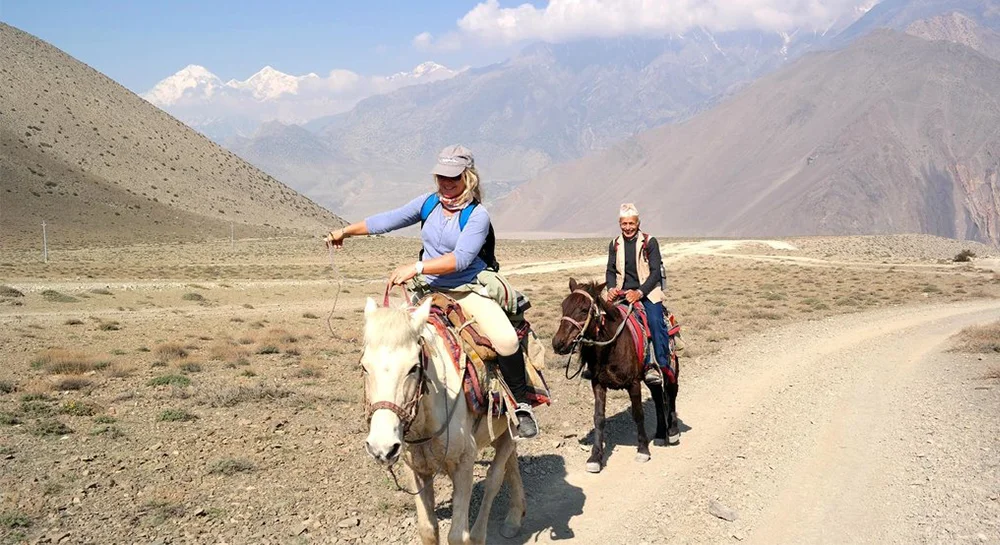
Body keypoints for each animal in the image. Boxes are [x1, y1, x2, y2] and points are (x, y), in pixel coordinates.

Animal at [361, 296, 526, 545]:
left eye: (414, 367)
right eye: (364, 366)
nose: (382, 448)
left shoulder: (464, 463)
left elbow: (457, 536)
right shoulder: (416, 469)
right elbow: (428, 529)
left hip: (512, 430)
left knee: (493, 479)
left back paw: (483, 533)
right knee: (511, 465)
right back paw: (515, 519)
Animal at [551, 278, 679, 473]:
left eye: (584, 309)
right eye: (563, 306)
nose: (558, 343)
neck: (610, 347)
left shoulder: (633, 383)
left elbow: (638, 414)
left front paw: (643, 450)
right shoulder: (598, 384)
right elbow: (598, 418)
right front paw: (595, 457)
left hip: (669, 365)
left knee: (671, 392)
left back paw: (672, 432)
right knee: (658, 397)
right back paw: (659, 434)